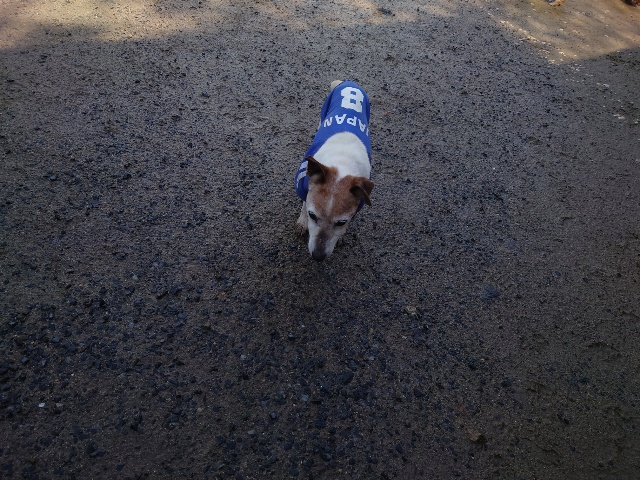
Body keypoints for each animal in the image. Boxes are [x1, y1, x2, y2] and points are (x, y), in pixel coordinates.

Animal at [294, 80, 374, 261]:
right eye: (313, 215)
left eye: (341, 222)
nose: (317, 256)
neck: (341, 165)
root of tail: (350, 82)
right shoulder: (304, 187)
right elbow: (304, 202)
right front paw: (302, 222)